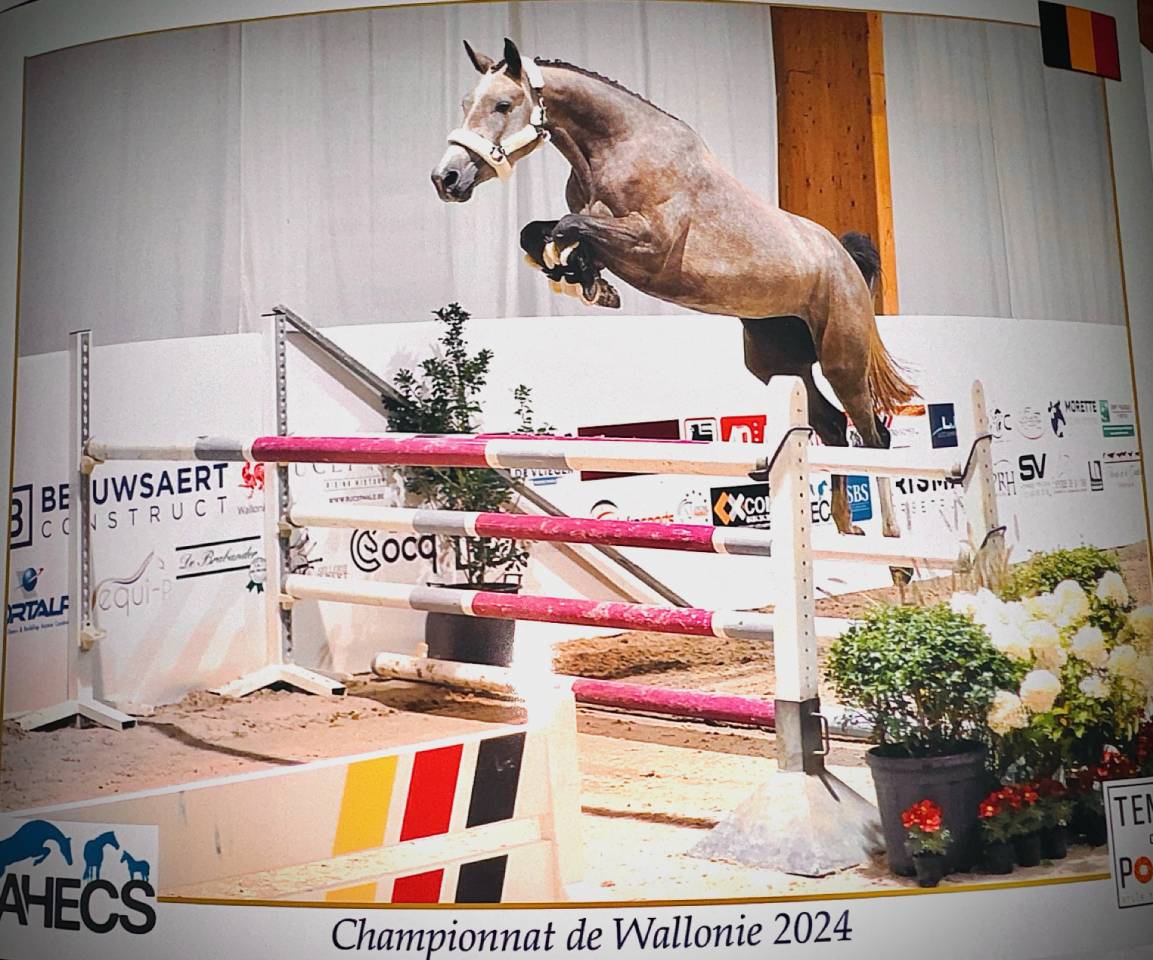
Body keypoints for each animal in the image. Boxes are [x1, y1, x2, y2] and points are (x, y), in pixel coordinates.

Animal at [431, 39, 919, 540]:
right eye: (466, 104)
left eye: (503, 105)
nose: (446, 179)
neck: (615, 148)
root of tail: (843, 260)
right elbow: (540, 231)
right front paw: (579, 275)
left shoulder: (651, 243)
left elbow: (570, 226)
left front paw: (579, 273)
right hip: (779, 361)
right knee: (832, 427)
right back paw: (843, 526)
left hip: (842, 358)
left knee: (872, 435)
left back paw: (891, 537)